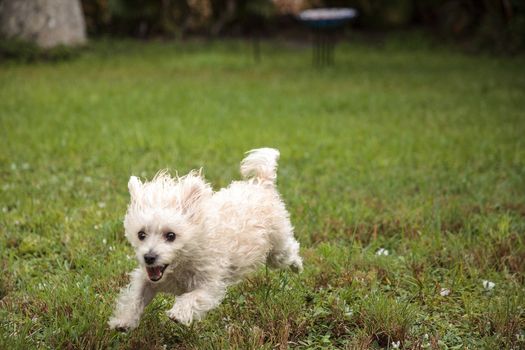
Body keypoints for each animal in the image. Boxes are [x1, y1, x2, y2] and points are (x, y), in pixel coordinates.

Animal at [107, 148, 302, 330]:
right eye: (141, 235)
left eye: (171, 236)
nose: (149, 257)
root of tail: (261, 184)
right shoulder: (148, 279)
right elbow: (134, 296)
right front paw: (124, 320)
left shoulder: (210, 284)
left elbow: (194, 297)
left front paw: (179, 313)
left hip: (278, 248)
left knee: (290, 250)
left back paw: (297, 266)